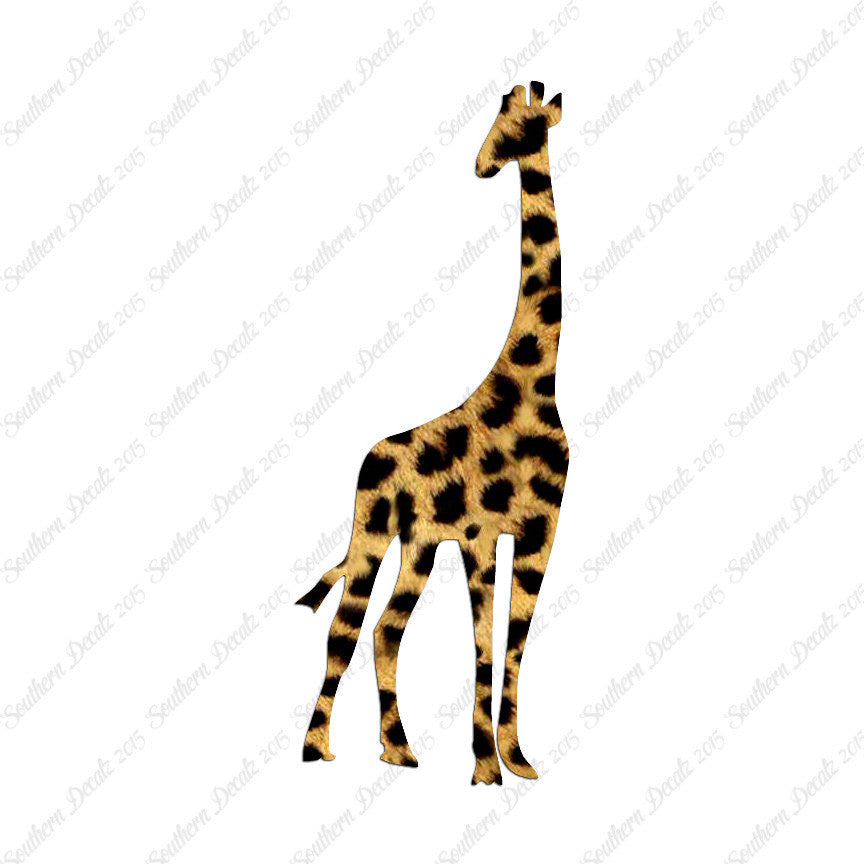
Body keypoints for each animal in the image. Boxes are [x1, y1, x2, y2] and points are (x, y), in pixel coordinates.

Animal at [295, 82, 567, 785]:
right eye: (501, 114)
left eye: (517, 124)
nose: (481, 165)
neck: (535, 384)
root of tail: (367, 457)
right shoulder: (480, 536)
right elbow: (484, 644)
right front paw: (485, 768)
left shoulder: (539, 532)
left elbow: (515, 641)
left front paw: (516, 761)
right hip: (371, 531)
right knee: (345, 628)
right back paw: (316, 748)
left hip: (416, 544)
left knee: (387, 629)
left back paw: (399, 749)